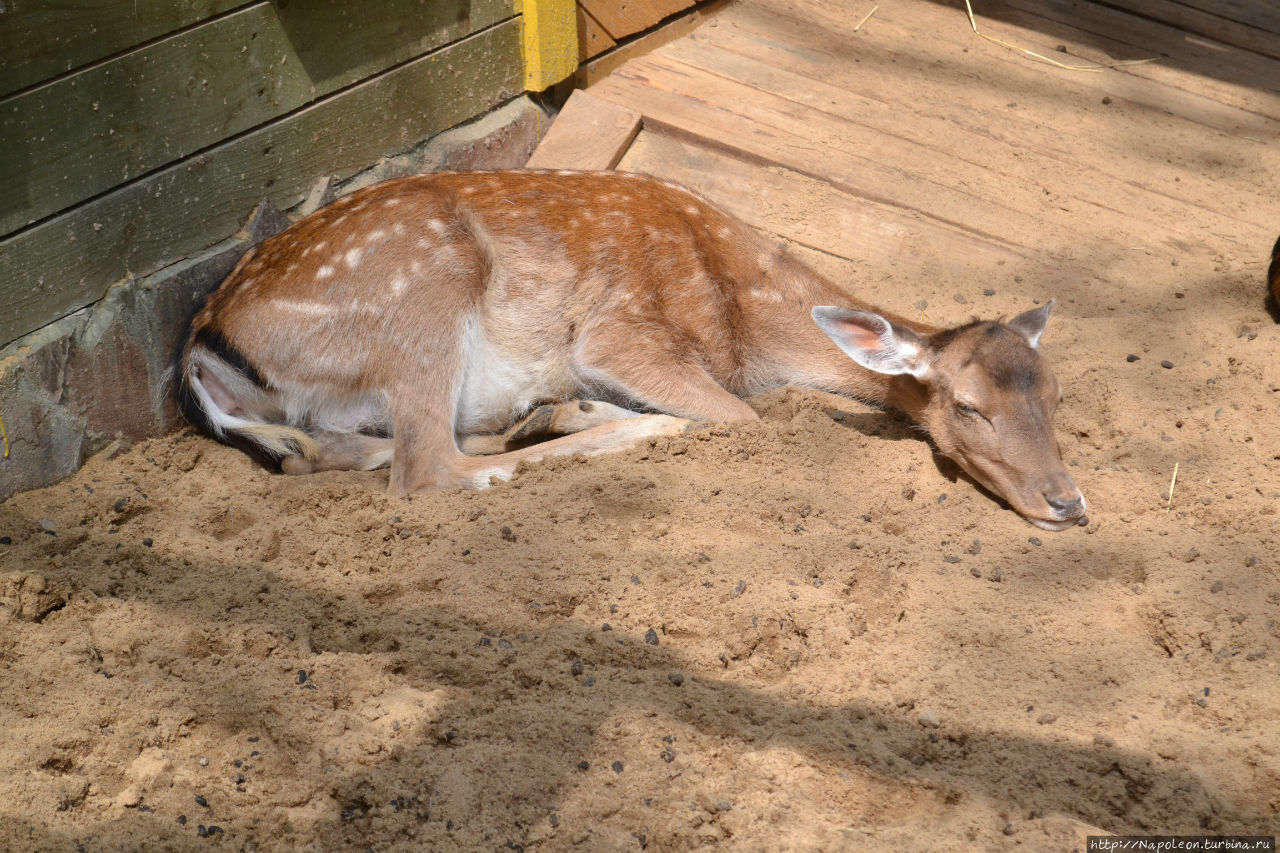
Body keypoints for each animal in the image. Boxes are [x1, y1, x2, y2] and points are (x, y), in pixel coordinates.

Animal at [175, 169, 1085, 527]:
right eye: (969, 407)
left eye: (1056, 395)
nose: (1069, 501)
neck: (742, 317)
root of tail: (203, 349)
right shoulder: (622, 331)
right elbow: (746, 418)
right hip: (425, 286)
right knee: (426, 467)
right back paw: (613, 427)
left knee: (339, 451)